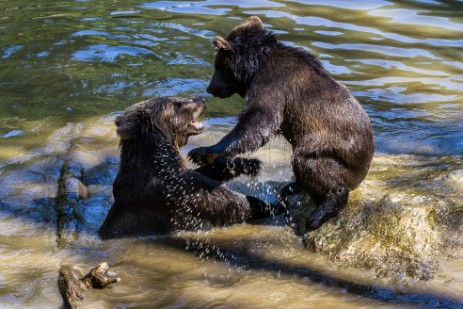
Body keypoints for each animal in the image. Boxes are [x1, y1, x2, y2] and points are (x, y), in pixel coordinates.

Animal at [98, 96, 272, 238]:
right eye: (178, 103)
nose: (202, 99)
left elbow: (206, 174)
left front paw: (249, 164)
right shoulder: (174, 192)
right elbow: (223, 201)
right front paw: (264, 204)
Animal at [190, 15, 376, 230]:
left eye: (218, 65)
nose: (210, 88)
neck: (255, 67)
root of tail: (365, 166)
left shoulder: (274, 83)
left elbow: (259, 118)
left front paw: (203, 152)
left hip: (333, 152)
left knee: (309, 162)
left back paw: (320, 212)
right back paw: (292, 186)